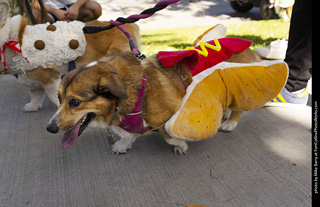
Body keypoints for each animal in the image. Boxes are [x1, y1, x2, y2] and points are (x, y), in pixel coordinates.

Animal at [0, 1, 140, 111]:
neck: (10, 41)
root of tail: (128, 25)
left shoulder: (51, 79)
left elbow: (54, 96)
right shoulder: (33, 81)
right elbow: (35, 95)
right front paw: (33, 107)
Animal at [45, 47, 260, 154]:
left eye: (74, 102)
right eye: (59, 98)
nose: (50, 128)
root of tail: (249, 46)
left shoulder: (169, 117)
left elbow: (169, 135)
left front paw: (181, 146)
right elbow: (127, 135)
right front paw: (123, 145)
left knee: (239, 107)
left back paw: (230, 123)